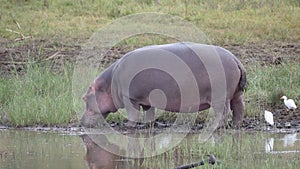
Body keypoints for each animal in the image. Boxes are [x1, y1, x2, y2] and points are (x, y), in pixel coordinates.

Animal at [80, 42, 246, 128]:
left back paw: (215, 126)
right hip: (236, 94)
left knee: (223, 112)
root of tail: (235, 59)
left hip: (220, 97)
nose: (80, 122)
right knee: (238, 108)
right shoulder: (145, 99)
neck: (108, 85)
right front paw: (147, 124)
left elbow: (133, 113)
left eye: (84, 98)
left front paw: (128, 125)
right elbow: (149, 112)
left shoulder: (129, 98)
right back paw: (235, 125)